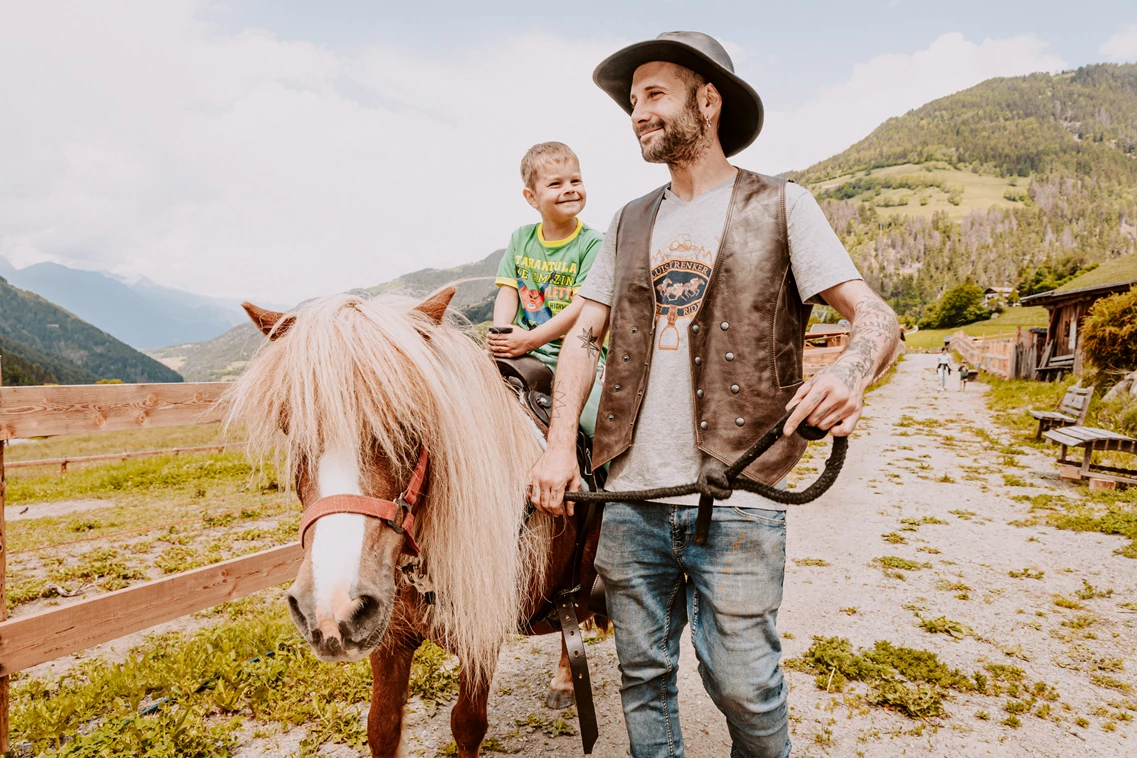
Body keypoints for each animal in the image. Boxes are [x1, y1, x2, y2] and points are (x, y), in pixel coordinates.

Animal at [217, 288, 600, 758]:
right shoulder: (388, 640)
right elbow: (381, 727)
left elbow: (467, 724)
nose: (330, 608)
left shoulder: (480, 637)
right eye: (291, 426)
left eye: (407, 423)